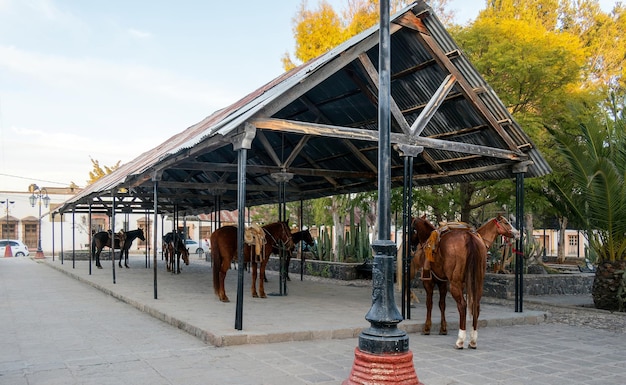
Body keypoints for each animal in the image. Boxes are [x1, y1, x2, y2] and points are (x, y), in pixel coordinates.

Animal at [404, 214, 516, 350]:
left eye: (411, 228)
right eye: (506, 222)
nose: (517, 233)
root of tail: (469, 237)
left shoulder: (429, 282)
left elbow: (430, 304)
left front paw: (427, 327)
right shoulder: (444, 282)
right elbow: (442, 304)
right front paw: (443, 328)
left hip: (455, 283)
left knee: (462, 305)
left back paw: (460, 340)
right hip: (477, 282)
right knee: (476, 305)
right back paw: (473, 340)